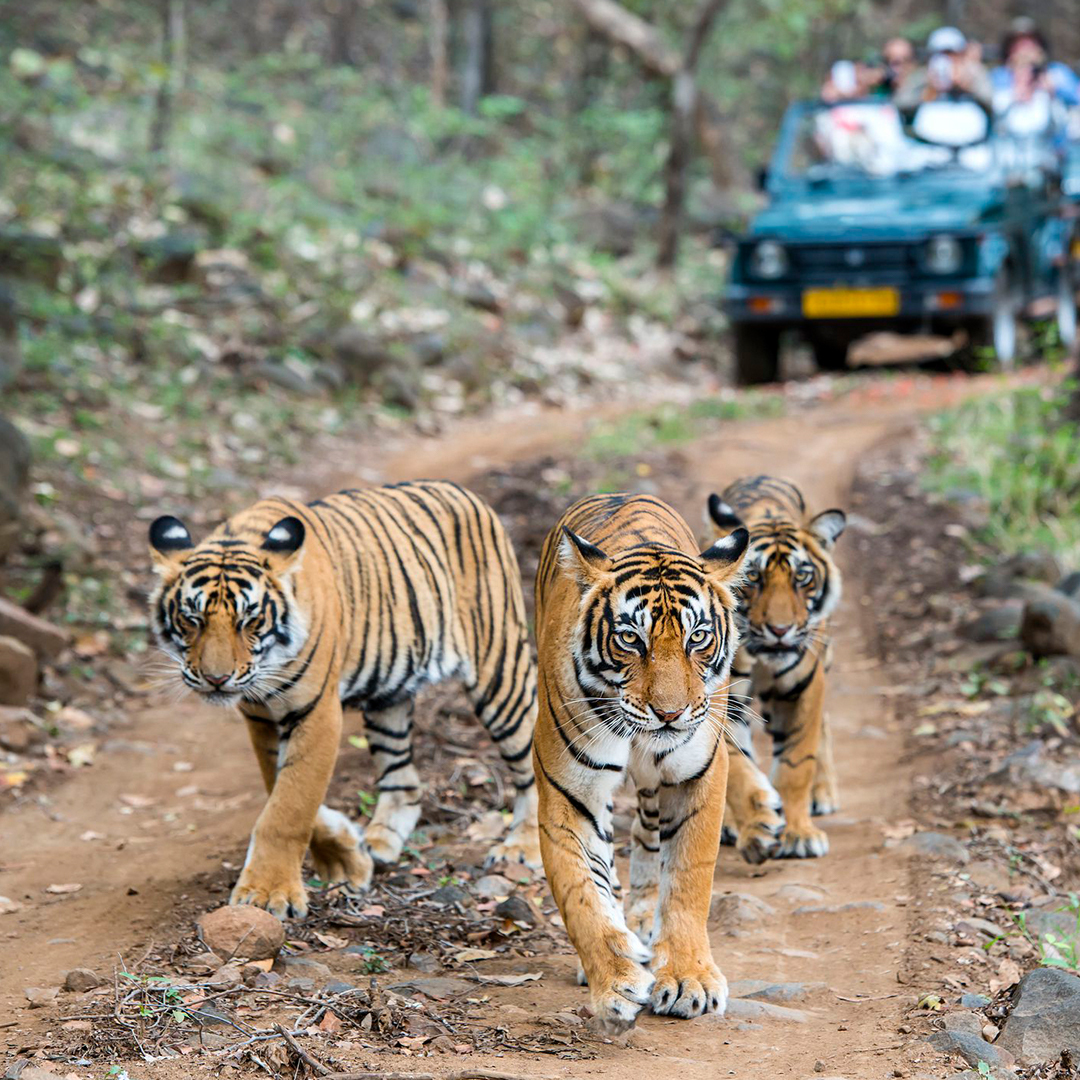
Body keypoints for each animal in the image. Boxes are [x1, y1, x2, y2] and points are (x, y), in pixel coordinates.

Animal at [149, 481, 540, 920]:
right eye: (191, 619)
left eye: (250, 620)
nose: (216, 679)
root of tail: (464, 492)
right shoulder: (261, 717)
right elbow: (279, 789)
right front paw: (346, 858)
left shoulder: (317, 712)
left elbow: (290, 806)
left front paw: (268, 894)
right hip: (389, 696)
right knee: (404, 780)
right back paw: (380, 843)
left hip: (500, 671)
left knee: (532, 762)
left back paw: (522, 848)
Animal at [531, 494, 751, 1032]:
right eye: (631, 639)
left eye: (698, 638)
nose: (669, 713)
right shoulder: (569, 794)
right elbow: (582, 894)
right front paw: (615, 982)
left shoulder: (698, 776)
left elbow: (689, 879)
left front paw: (690, 979)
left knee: (650, 836)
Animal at [704, 477, 846, 864]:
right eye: (753, 576)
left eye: (802, 577)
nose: (780, 630)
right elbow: (737, 766)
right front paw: (758, 828)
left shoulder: (804, 688)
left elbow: (797, 763)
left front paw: (800, 834)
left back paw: (823, 793)